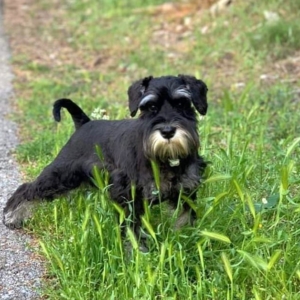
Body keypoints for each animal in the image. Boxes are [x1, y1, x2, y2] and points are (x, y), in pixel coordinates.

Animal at [2, 75, 207, 251]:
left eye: (181, 103)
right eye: (151, 107)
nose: (167, 131)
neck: (166, 158)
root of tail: (84, 124)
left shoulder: (186, 191)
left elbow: (186, 216)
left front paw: (188, 238)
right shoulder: (127, 195)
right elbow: (131, 227)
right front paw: (136, 253)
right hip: (60, 174)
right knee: (28, 188)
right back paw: (12, 216)